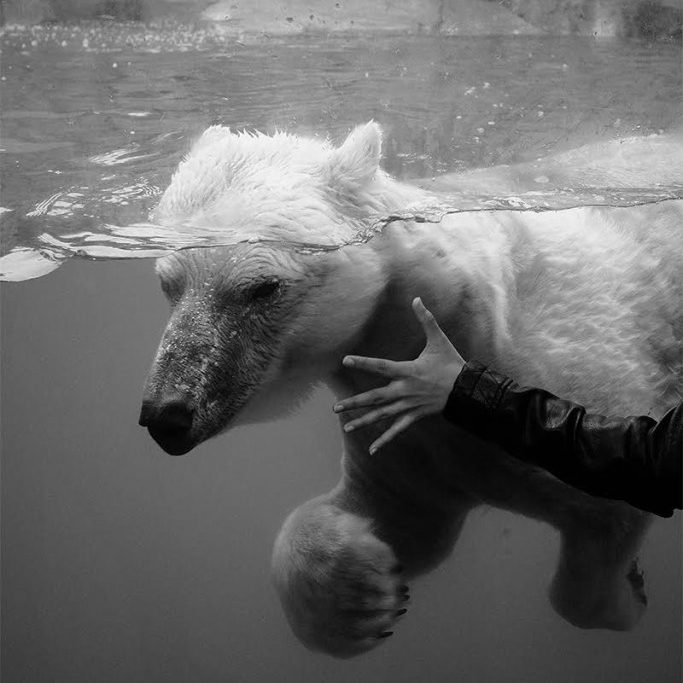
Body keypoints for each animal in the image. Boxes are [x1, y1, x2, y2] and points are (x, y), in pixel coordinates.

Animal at [139, 122, 682, 658]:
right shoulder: (412, 446)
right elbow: (405, 520)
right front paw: (363, 594)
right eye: (168, 283)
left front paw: (631, 593)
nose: (167, 414)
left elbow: (607, 517)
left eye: (263, 287)